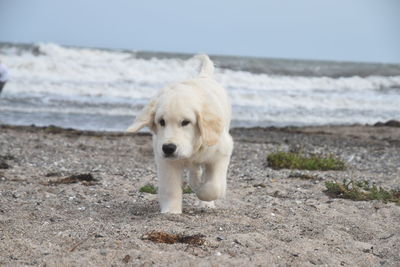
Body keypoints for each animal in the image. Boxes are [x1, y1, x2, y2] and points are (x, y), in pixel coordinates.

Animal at [128, 55, 233, 215]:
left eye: (185, 122)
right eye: (161, 121)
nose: (169, 148)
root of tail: (203, 76)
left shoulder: (221, 153)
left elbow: (214, 187)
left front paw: (204, 196)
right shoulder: (165, 159)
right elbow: (170, 187)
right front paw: (171, 211)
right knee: (193, 171)